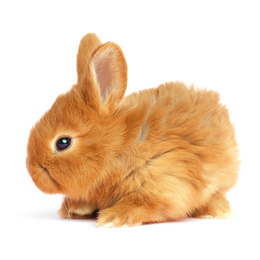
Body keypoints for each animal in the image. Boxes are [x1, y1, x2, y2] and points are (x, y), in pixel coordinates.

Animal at [26, 33, 240, 228]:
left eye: (63, 142)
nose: (32, 172)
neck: (118, 148)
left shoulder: (165, 179)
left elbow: (143, 203)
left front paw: (113, 217)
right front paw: (76, 208)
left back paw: (217, 212)